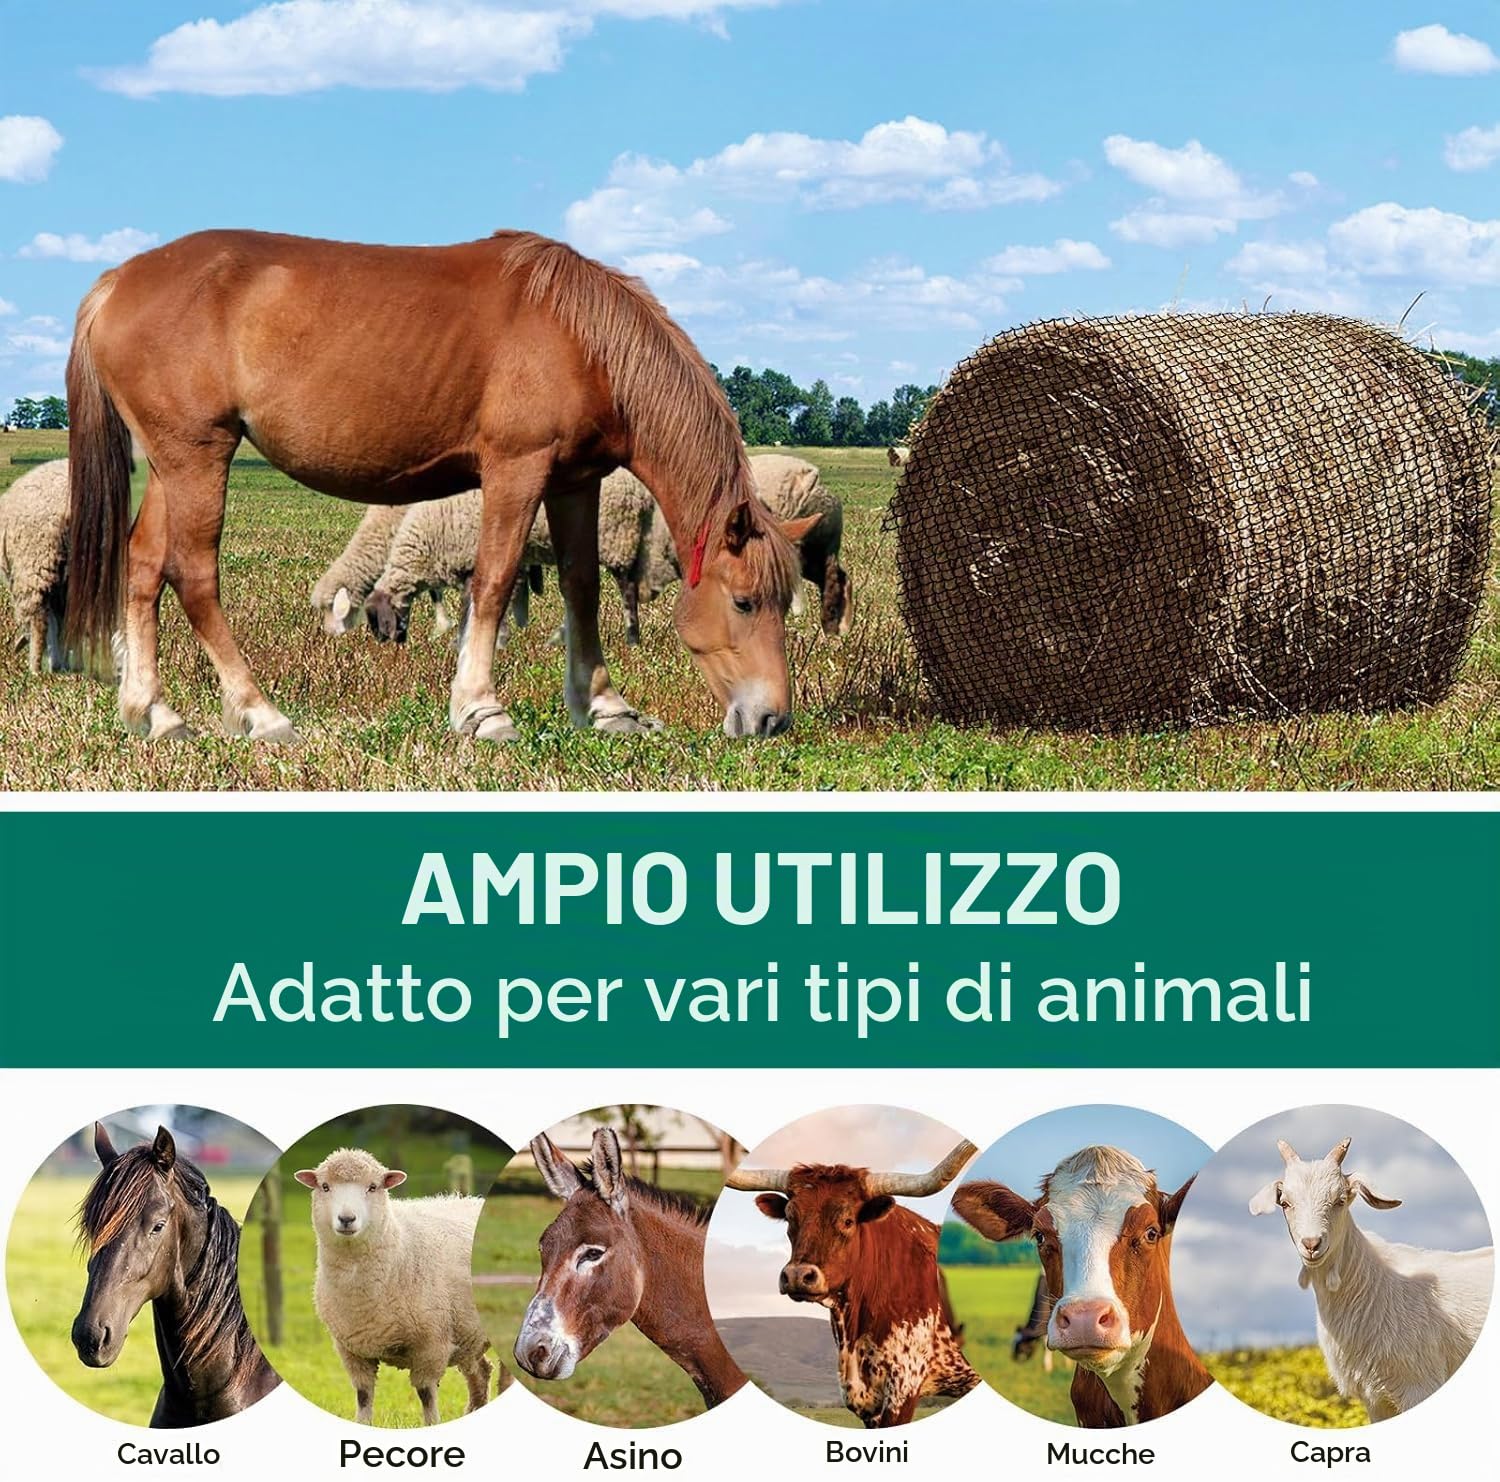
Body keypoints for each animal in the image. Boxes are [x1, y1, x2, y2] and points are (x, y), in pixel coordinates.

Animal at [64, 229, 818, 744]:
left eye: (785, 600)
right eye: (745, 601)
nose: (772, 718)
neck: (582, 338)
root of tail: (118, 280)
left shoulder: (575, 481)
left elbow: (580, 586)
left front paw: (604, 706)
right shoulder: (517, 469)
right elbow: (494, 579)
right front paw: (481, 709)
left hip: (173, 464)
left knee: (142, 566)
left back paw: (155, 712)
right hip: (199, 459)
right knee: (193, 575)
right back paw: (260, 712)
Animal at [295, 1147, 492, 1426]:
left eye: (373, 1187)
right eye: (324, 1186)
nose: (347, 1219)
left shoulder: (431, 1345)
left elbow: (426, 1395)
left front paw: (432, 1423)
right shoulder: (351, 1350)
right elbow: (364, 1395)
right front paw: (363, 1423)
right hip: (469, 1334)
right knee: (482, 1372)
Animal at [1249, 1136, 1493, 1420]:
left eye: (1340, 1200)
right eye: (1285, 1203)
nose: (1311, 1244)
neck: (1372, 1284)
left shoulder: (1419, 1384)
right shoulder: (1376, 1400)